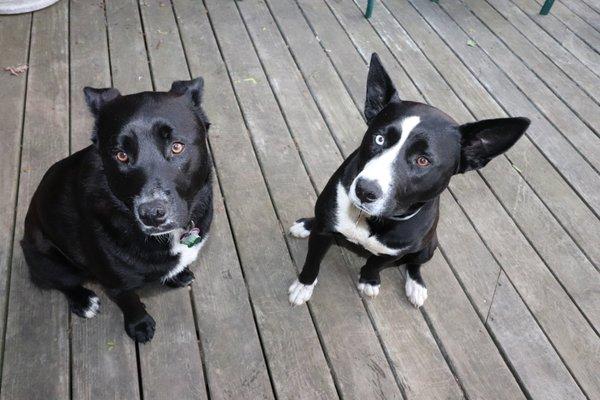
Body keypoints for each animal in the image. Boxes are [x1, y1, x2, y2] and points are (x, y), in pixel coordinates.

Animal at [20, 77, 213, 340]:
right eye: (121, 155)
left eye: (177, 147)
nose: (152, 215)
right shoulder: (116, 284)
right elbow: (130, 303)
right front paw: (139, 325)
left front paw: (177, 274)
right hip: (45, 256)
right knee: (59, 281)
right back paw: (83, 301)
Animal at [288, 53, 528, 308]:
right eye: (379, 138)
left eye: (423, 161)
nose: (364, 191)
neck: (374, 221)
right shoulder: (324, 233)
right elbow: (312, 262)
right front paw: (303, 286)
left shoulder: (395, 252)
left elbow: (375, 264)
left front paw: (369, 280)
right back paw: (305, 225)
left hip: (429, 246)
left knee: (415, 264)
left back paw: (416, 286)